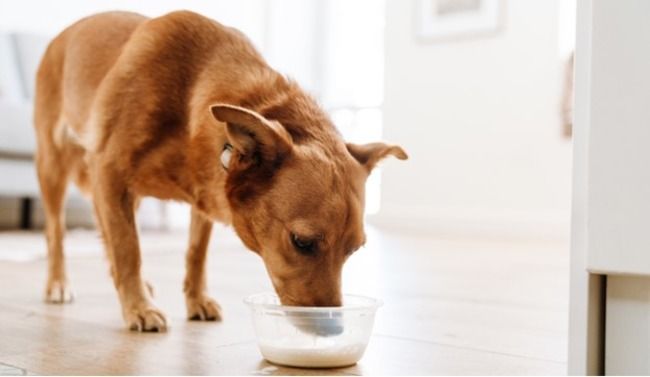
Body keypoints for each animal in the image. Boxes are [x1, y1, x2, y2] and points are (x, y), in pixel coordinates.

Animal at [34, 10, 404, 330]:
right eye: (302, 242)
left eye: (353, 250)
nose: (334, 330)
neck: (189, 99)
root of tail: (64, 34)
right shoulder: (110, 172)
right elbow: (129, 249)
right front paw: (139, 308)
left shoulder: (201, 198)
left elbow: (195, 254)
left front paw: (195, 300)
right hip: (54, 169)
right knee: (57, 233)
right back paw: (58, 284)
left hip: (125, 195)